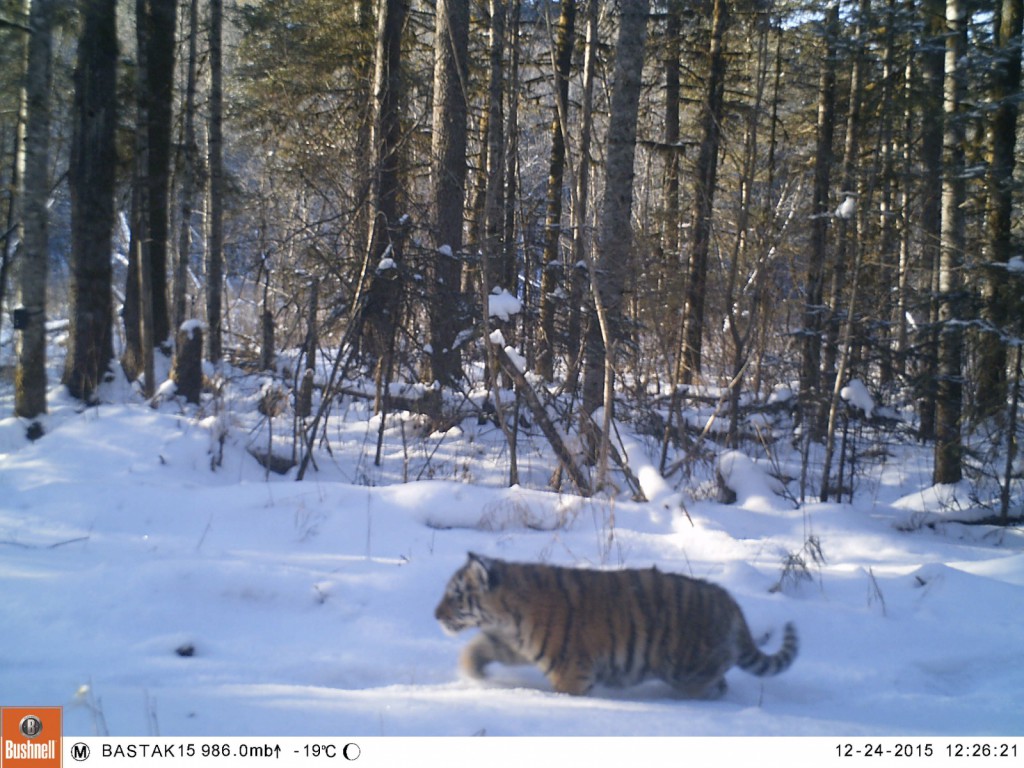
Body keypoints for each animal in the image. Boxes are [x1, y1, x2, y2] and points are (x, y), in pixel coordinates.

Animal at [432, 552, 798, 696]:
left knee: (716, 682)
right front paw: (474, 674)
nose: (435, 615)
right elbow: (480, 645)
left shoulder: (571, 673)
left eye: (455, 595)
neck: (508, 616)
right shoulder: (512, 643)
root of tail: (731, 602)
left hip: (687, 669)